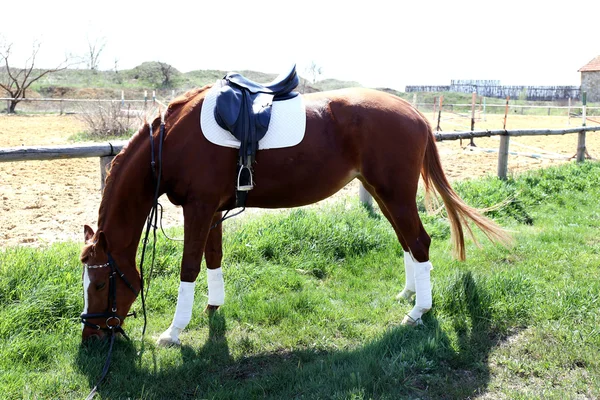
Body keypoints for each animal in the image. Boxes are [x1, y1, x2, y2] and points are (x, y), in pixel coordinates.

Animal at [79, 86, 508, 346]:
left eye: (99, 284)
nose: (91, 337)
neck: (171, 142)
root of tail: (414, 113)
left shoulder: (198, 208)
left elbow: (189, 268)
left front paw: (173, 331)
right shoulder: (212, 210)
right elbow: (213, 259)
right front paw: (214, 307)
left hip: (394, 194)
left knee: (418, 241)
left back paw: (419, 311)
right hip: (383, 192)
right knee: (407, 240)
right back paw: (409, 293)